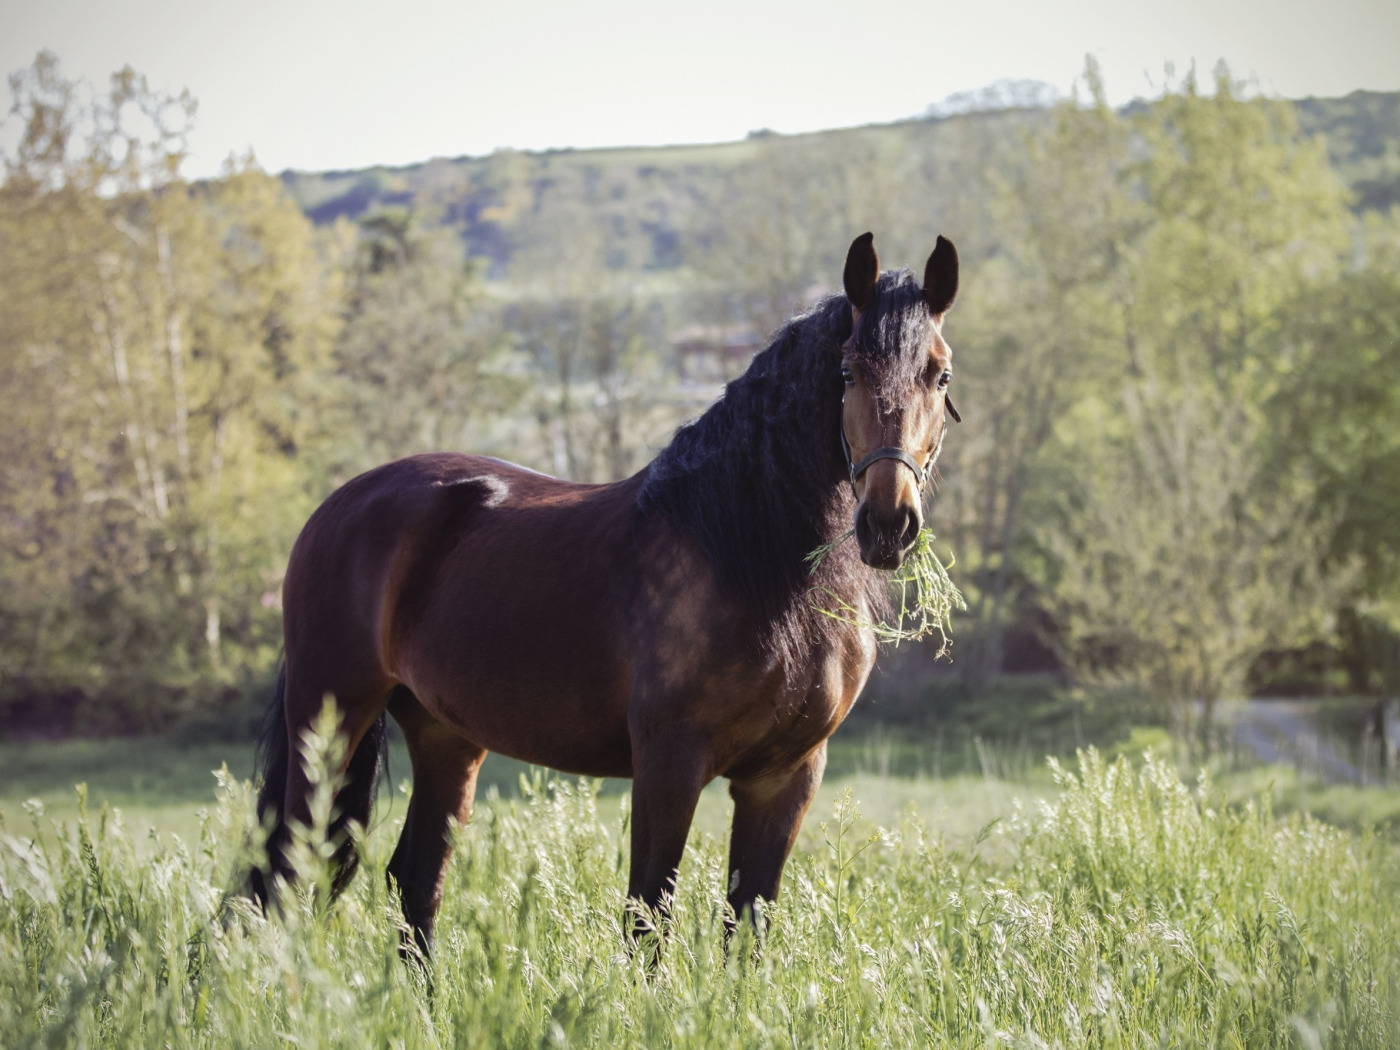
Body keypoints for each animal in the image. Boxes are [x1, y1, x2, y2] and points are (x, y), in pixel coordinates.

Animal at [252, 233, 963, 957]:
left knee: (415, 882)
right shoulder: (668, 762)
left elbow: (746, 925)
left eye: (941, 375)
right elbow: (648, 917)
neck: (744, 554)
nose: (889, 523)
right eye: (847, 372)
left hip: (444, 737)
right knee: (283, 870)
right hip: (328, 721)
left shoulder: (785, 775)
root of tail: (337, 507)